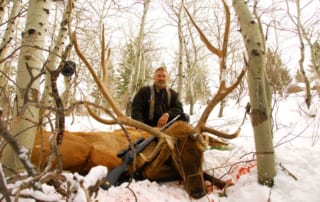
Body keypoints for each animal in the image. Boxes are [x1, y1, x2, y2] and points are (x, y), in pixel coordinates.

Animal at [31, 0, 245, 199]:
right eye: (177, 158)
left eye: (201, 155)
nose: (199, 193)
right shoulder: (147, 168)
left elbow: (212, 174)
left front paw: (227, 183)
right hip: (76, 148)